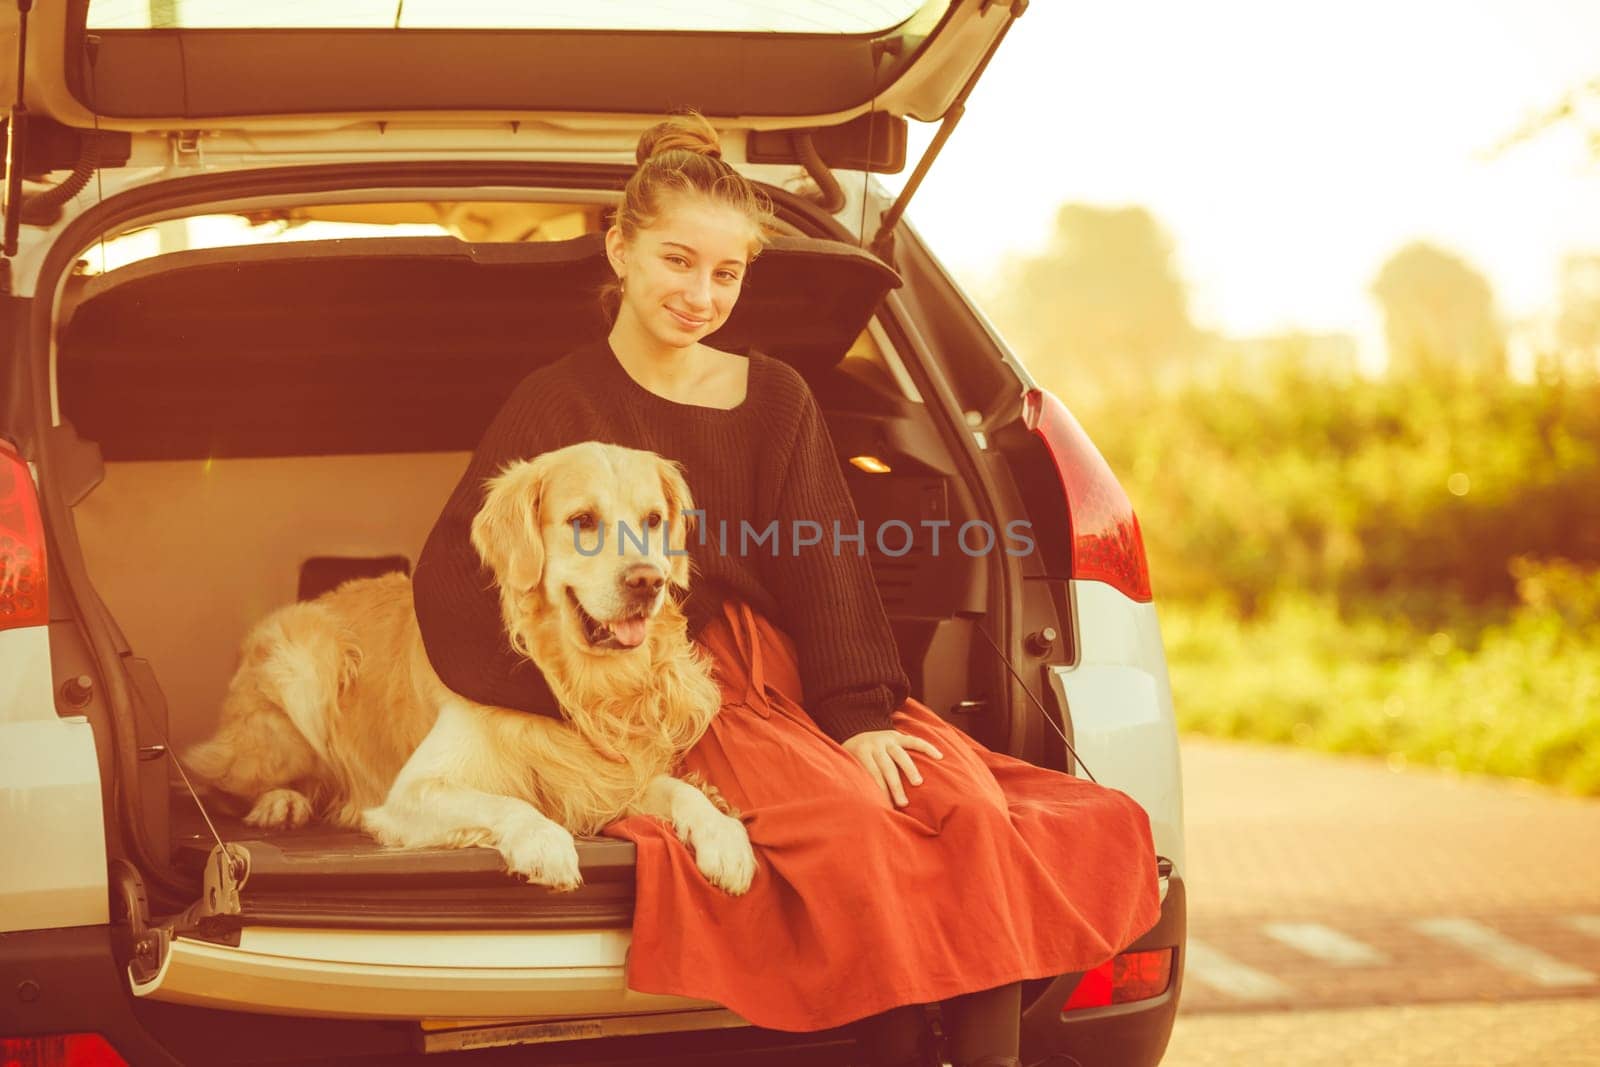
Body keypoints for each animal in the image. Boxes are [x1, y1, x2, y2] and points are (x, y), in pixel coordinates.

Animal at [181, 441, 755, 895]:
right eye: (583, 521)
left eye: (653, 520)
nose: (648, 580)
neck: (570, 680)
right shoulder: (413, 791)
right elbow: (507, 803)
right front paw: (544, 841)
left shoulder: (610, 778)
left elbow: (679, 791)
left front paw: (724, 835)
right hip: (307, 670)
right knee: (216, 782)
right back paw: (281, 803)